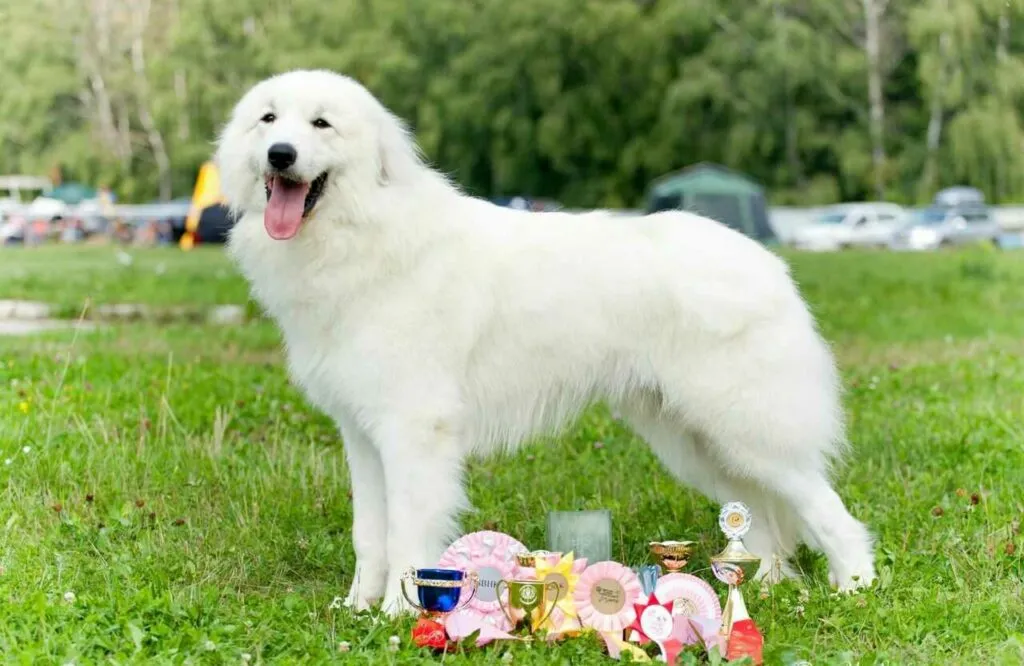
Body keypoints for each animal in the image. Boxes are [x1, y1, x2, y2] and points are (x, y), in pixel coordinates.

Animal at [216, 67, 872, 610]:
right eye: (268, 119)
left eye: (321, 123)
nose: (280, 155)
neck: (362, 233)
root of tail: (769, 262)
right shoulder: (363, 433)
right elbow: (369, 534)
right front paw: (358, 609)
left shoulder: (413, 429)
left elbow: (406, 531)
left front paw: (401, 614)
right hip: (695, 439)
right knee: (763, 514)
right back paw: (767, 584)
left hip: (741, 422)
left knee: (824, 505)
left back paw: (855, 584)